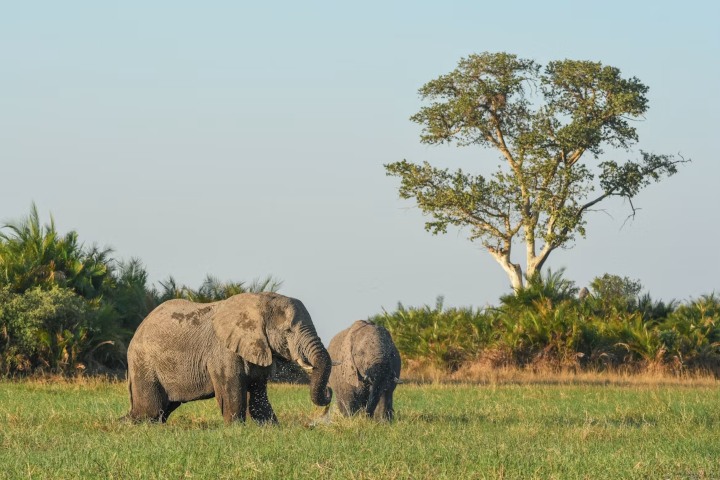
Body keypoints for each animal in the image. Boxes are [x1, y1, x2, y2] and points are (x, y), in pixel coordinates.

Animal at [126, 292, 332, 424]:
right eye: (288, 331)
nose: (329, 391)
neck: (259, 301)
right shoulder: (222, 352)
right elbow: (233, 399)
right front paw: (235, 431)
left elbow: (258, 400)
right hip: (143, 362)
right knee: (150, 411)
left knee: (162, 409)